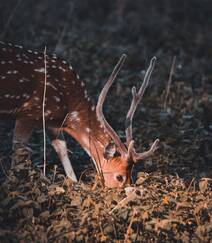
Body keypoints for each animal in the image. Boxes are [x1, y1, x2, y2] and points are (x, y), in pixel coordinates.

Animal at [0, 40, 159, 187]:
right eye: (119, 177)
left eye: (131, 176)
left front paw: (74, 181)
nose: (126, 189)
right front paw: (15, 181)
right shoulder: (28, 114)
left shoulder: (53, 122)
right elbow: (18, 149)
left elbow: (62, 149)